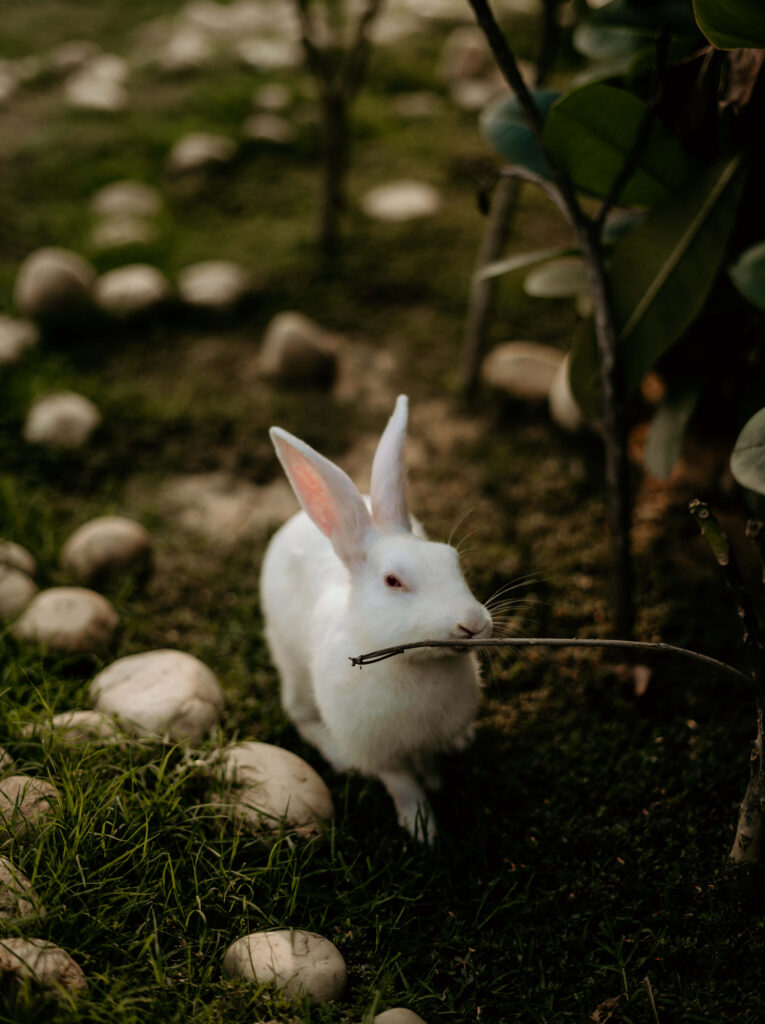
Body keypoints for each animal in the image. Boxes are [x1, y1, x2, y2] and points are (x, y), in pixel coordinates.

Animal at [260, 394, 492, 841]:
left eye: (452, 560)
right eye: (393, 581)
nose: (473, 623)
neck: (414, 663)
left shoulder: (427, 739)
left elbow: (429, 763)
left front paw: (437, 781)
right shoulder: (381, 753)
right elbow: (402, 784)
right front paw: (423, 829)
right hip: (290, 661)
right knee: (299, 714)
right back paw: (337, 755)